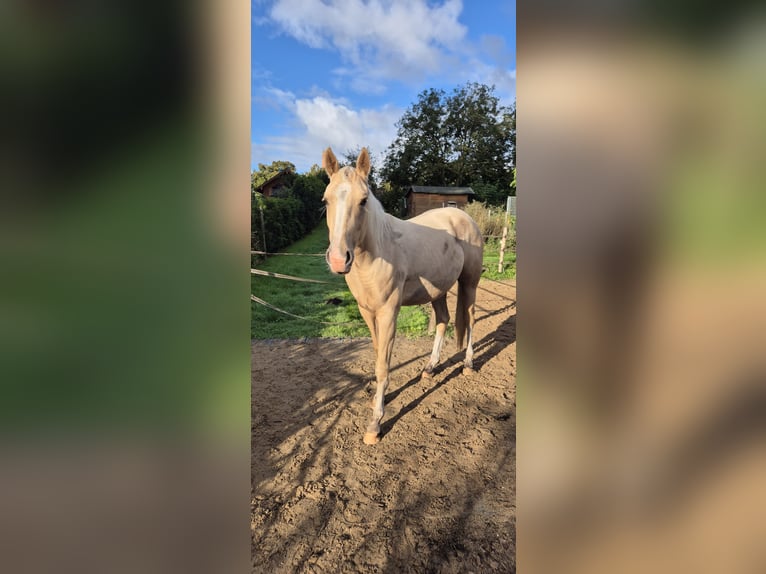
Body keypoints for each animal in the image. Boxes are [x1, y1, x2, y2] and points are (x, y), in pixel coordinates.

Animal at [321, 147, 484, 445]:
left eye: (363, 201)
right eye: (326, 200)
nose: (339, 260)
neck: (376, 252)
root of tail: (465, 218)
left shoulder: (388, 312)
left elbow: (383, 366)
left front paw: (375, 424)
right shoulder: (367, 311)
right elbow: (378, 356)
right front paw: (377, 402)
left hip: (469, 283)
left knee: (470, 318)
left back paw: (468, 364)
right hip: (438, 290)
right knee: (443, 320)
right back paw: (429, 369)